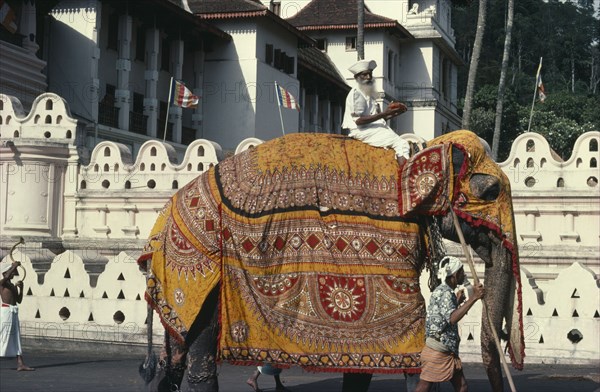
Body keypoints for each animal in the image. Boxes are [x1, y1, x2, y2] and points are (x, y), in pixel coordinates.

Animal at [138, 131, 524, 392]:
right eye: (491, 192)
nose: (506, 339)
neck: (416, 157)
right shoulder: (394, 246)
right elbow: (410, 344)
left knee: (177, 355)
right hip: (198, 262)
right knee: (199, 359)